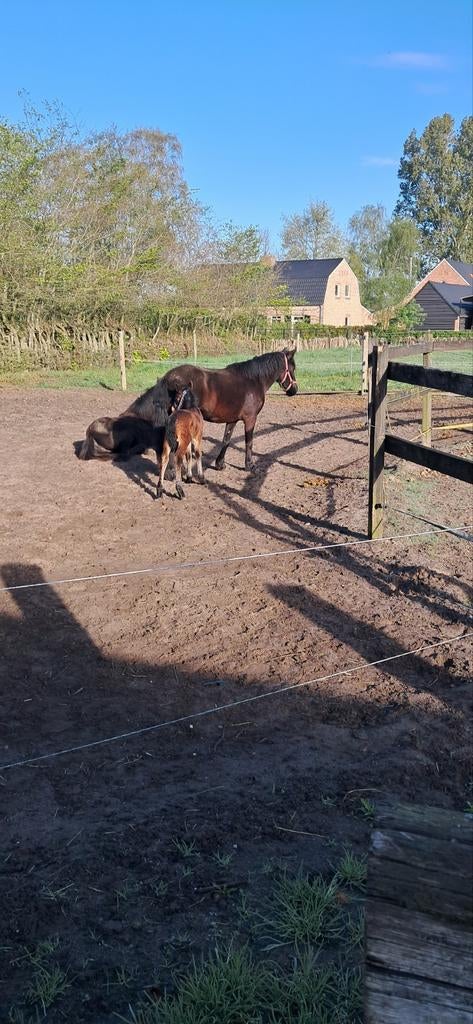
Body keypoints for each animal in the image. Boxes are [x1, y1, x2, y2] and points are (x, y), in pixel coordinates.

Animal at [152, 349, 298, 472]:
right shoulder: (250, 419)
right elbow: (249, 441)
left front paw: (220, 464)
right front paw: (250, 465)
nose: (294, 390)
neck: (254, 380)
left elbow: (226, 440)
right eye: (293, 368)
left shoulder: (232, 420)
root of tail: (170, 378)